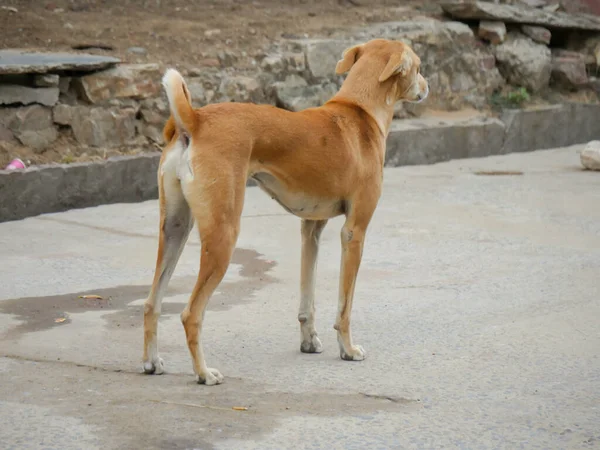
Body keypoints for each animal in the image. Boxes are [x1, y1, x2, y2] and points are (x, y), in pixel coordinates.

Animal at [143, 37, 428, 386]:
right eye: (418, 66)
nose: (426, 87)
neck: (359, 110)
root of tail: (195, 120)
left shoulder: (311, 229)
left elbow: (308, 298)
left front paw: (309, 342)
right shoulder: (354, 233)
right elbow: (344, 307)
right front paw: (347, 349)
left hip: (175, 229)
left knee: (151, 303)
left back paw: (152, 362)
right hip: (223, 236)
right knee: (190, 313)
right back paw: (204, 373)